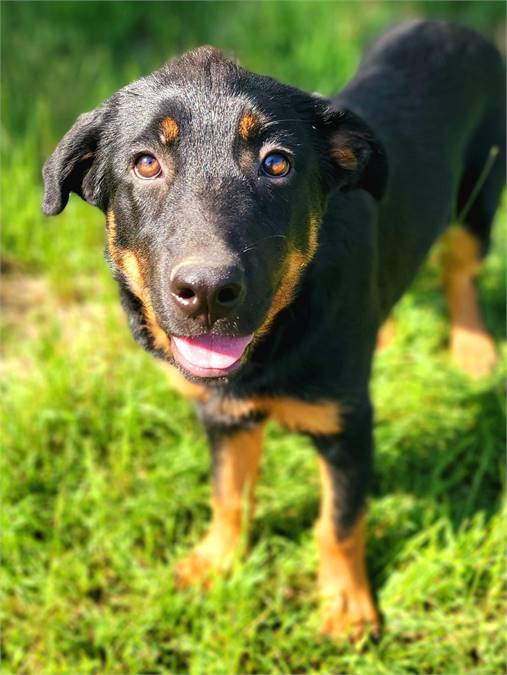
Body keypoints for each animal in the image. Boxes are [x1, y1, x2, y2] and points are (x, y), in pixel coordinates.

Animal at [41, 21, 506, 640]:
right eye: (145, 163)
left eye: (276, 164)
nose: (207, 292)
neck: (275, 336)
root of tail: (453, 26)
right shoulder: (223, 413)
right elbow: (228, 492)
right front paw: (216, 562)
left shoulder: (347, 424)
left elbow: (339, 521)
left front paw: (347, 606)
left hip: (479, 195)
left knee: (461, 271)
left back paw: (474, 350)